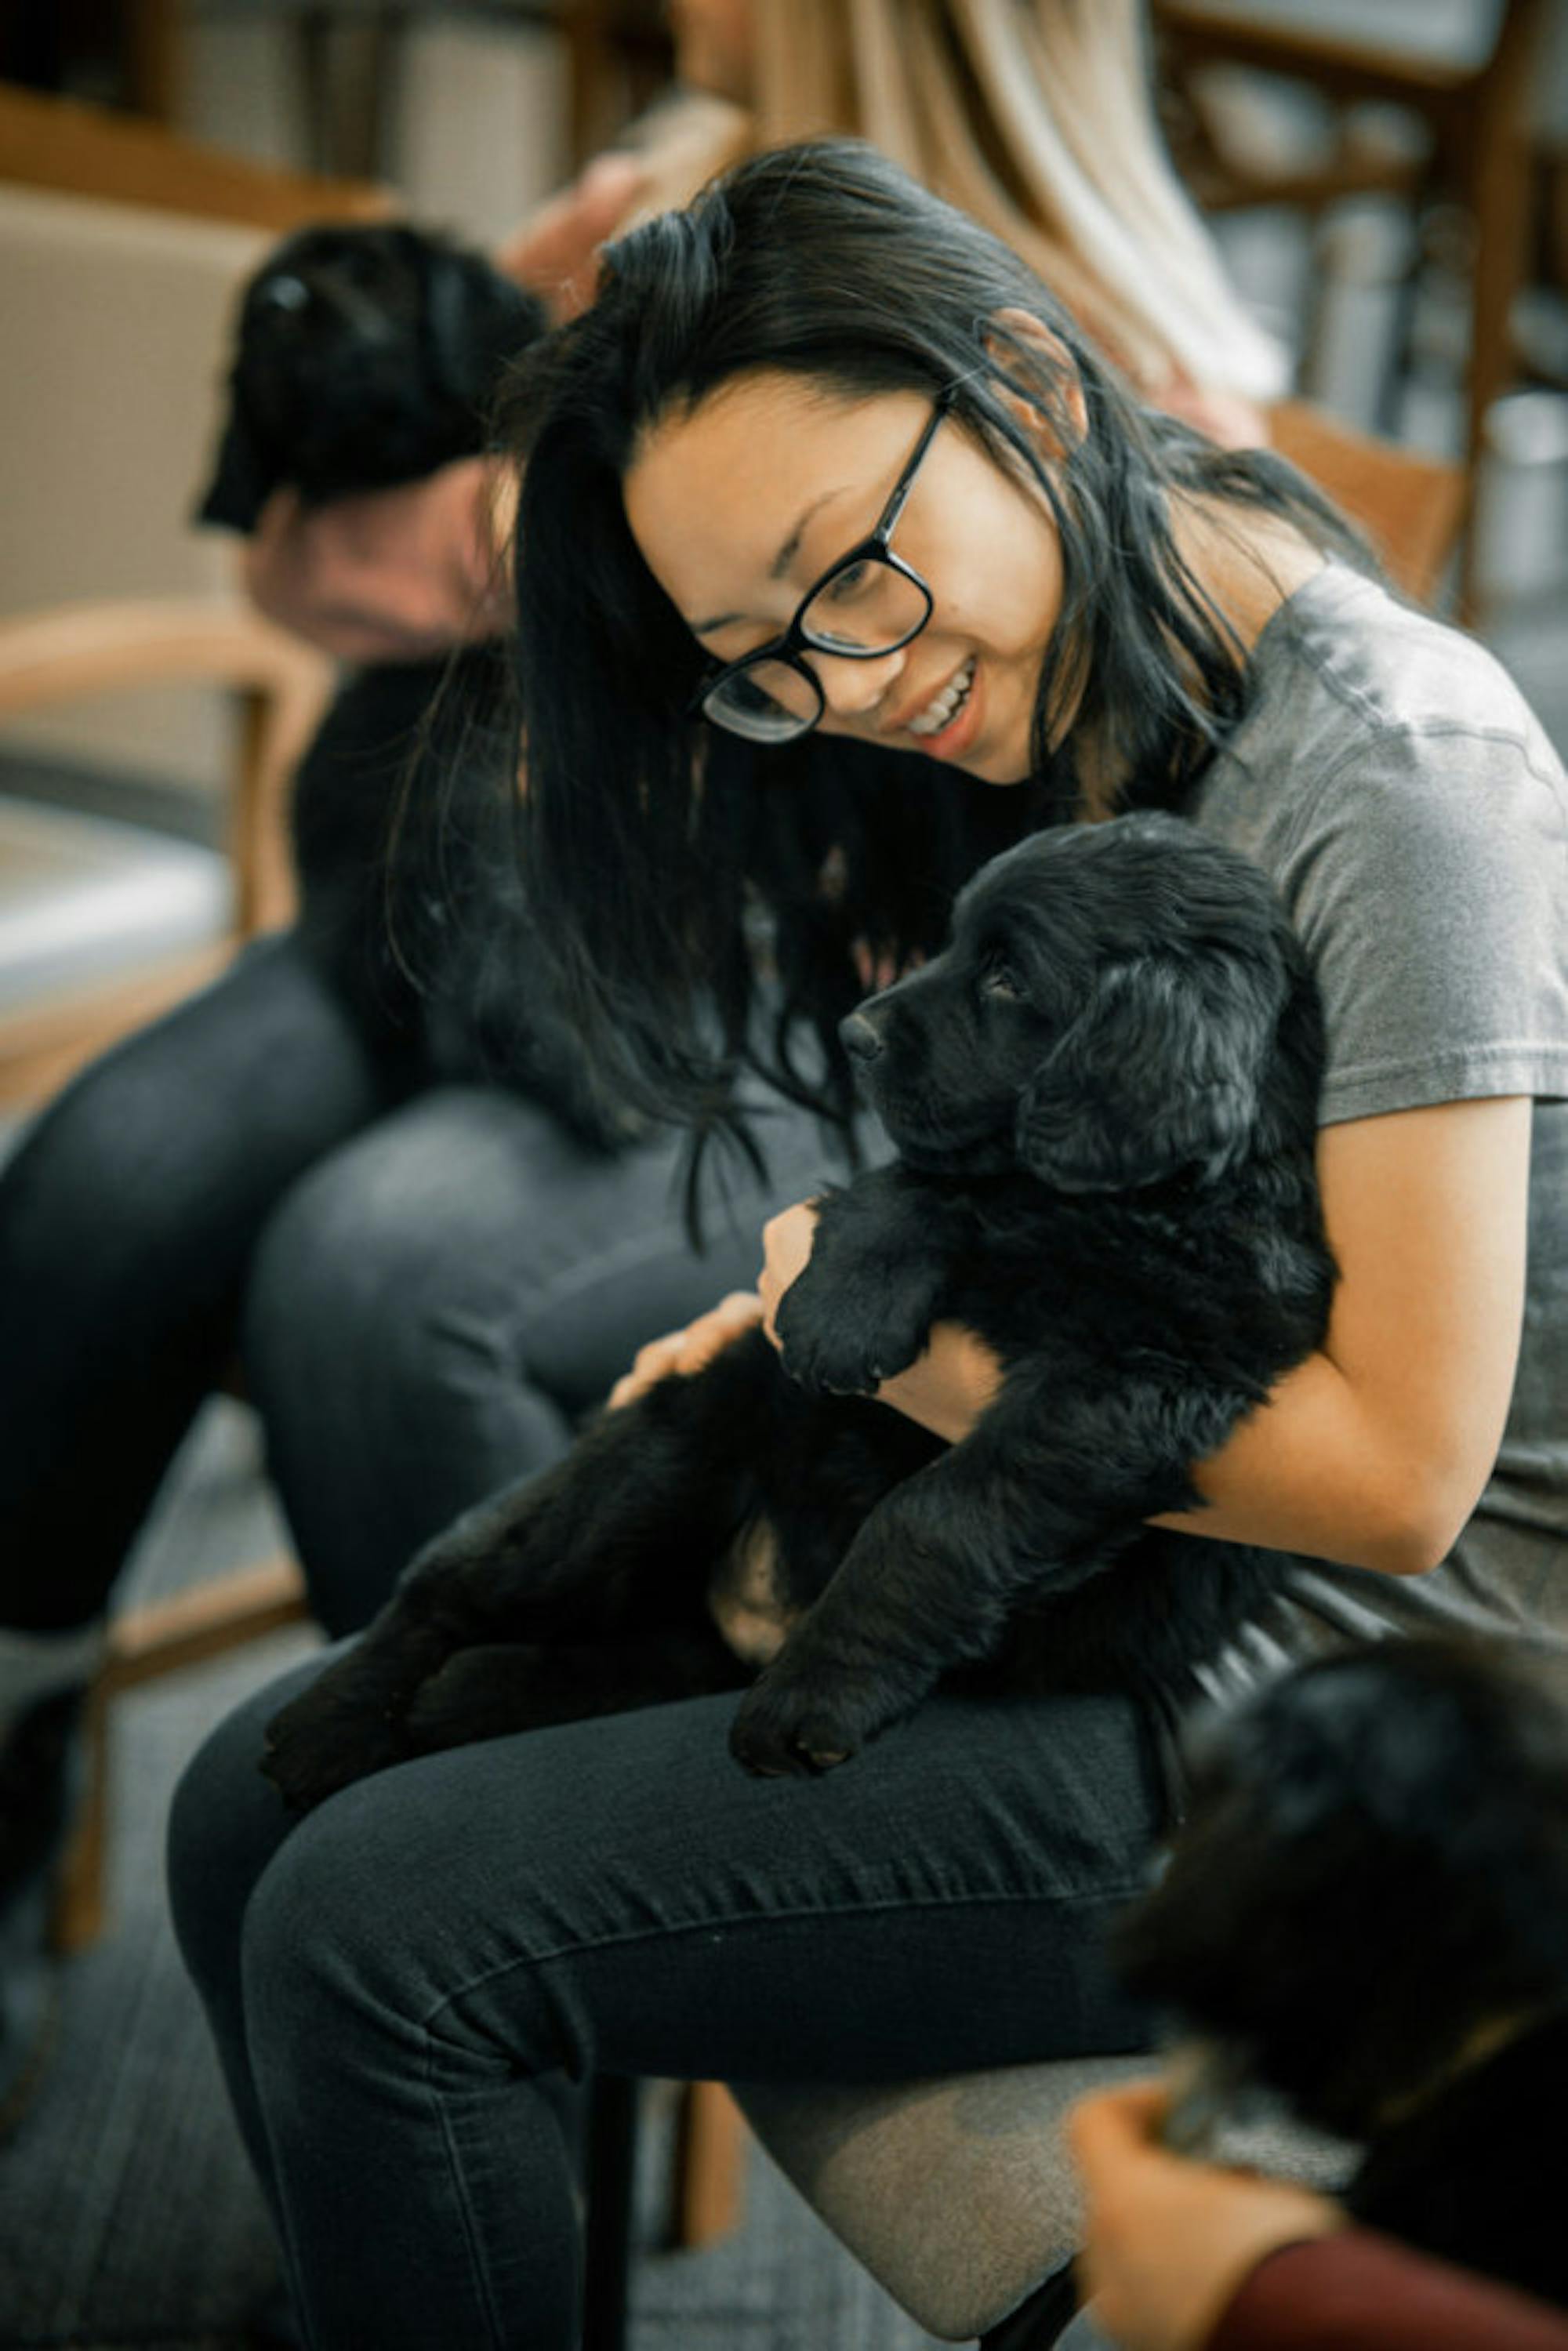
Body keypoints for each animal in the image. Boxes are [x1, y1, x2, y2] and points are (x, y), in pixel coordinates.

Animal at [263, 808, 1345, 1796]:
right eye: (954, 942)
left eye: (1005, 979)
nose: (851, 1032)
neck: (1138, 1207)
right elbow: (918, 1181)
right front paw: (840, 1309)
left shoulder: (1136, 1379)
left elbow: (934, 1514)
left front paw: (811, 1695)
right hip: (661, 1456)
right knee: (453, 1582)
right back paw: (327, 1722)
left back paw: (463, 1695)